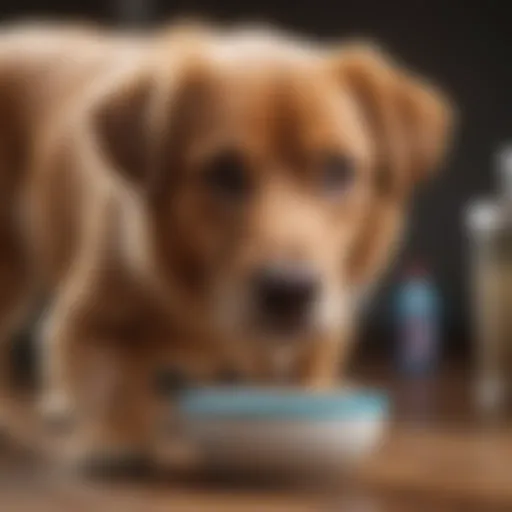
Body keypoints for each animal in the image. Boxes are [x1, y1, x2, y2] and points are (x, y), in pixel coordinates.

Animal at [0, 21, 456, 468]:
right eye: (224, 171)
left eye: (337, 169)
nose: (289, 292)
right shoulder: (87, 319)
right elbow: (111, 381)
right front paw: (120, 440)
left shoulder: (326, 325)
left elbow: (305, 372)